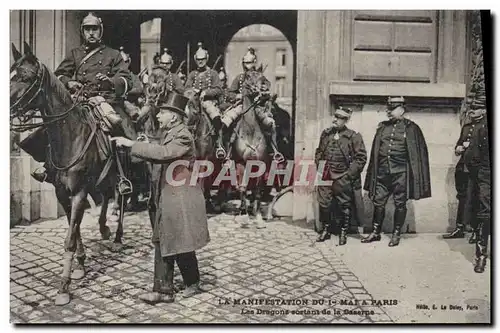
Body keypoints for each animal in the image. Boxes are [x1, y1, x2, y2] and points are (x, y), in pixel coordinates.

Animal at [10, 42, 128, 304]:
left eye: (26, 77)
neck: (70, 137)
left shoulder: (79, 192)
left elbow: (70, 239)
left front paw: (64, 286)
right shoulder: (62, 193)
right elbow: (75, 230)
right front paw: (80, 266)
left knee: (123, 196)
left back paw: (117, 237)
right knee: (107, 195)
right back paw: (104, 228)